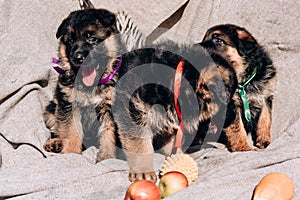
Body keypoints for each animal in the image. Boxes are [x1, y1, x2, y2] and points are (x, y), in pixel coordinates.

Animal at [44, 8, 237, 182]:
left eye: (92, 39)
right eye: (70, 41)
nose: (77, 57)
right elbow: (73, 132)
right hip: (51, 109)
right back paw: (55, 142)